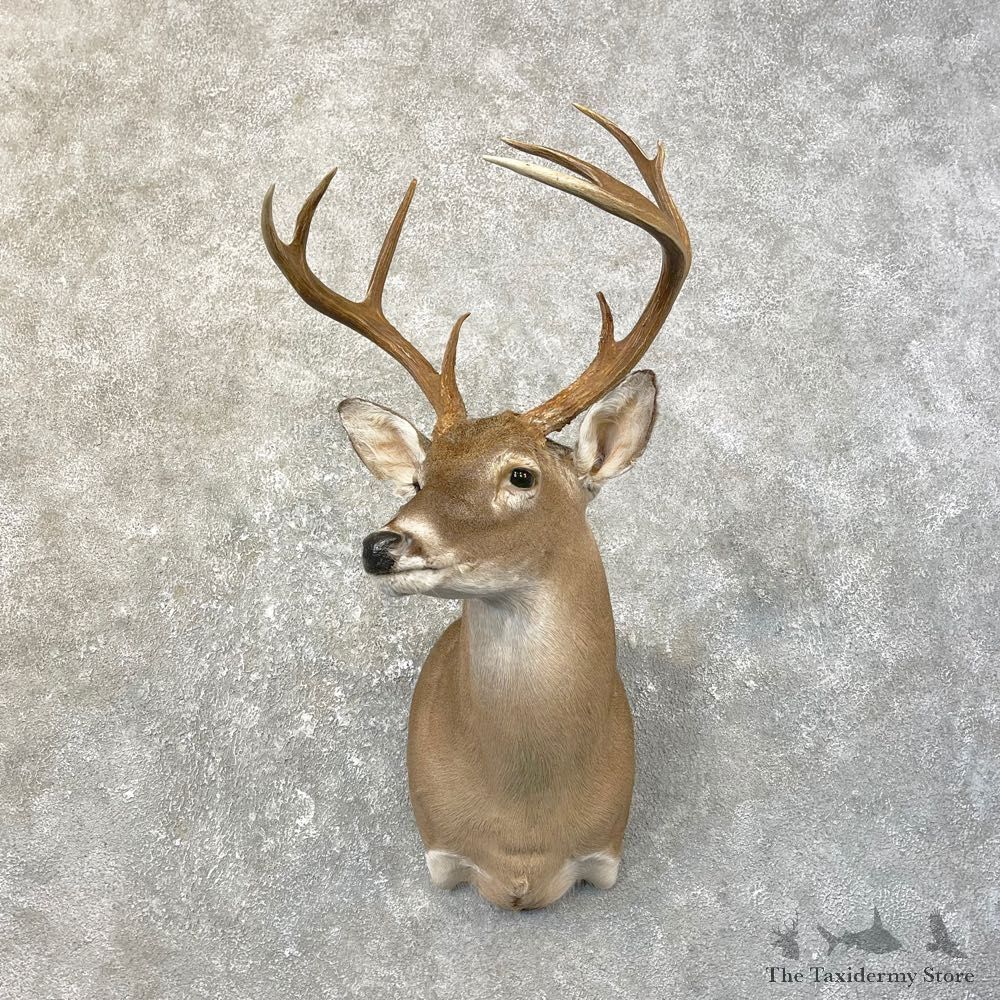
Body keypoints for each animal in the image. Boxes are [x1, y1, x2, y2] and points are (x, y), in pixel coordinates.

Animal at [261, 105, 691, 911]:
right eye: (418, 479)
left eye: (521, 475)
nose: (382, 545)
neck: (524, 837)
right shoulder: (443, 853)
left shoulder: (603, 855)